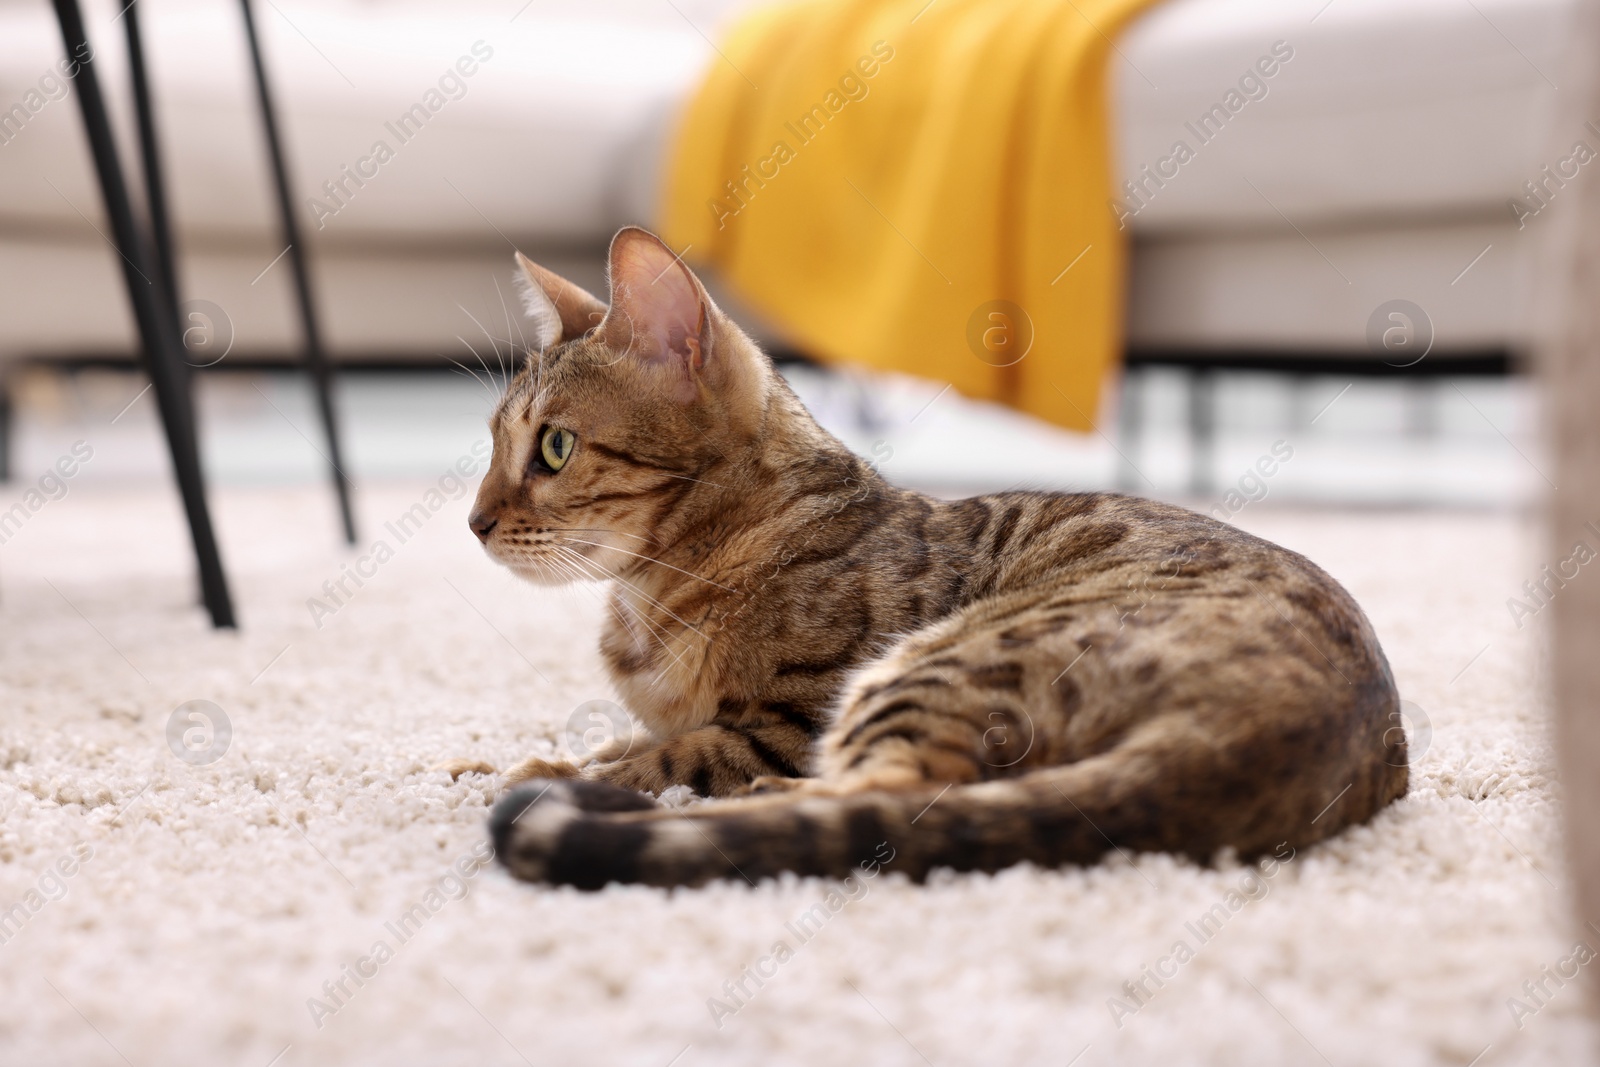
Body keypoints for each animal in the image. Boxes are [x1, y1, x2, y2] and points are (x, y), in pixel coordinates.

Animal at [457, 227, 1408, 895]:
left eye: (553, 447)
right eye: (495, 442)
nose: (472, 521)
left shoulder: (786, 722)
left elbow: (665, 755)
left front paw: (559, 770)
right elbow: (633, 732)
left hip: (927, 668)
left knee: (888, 792)